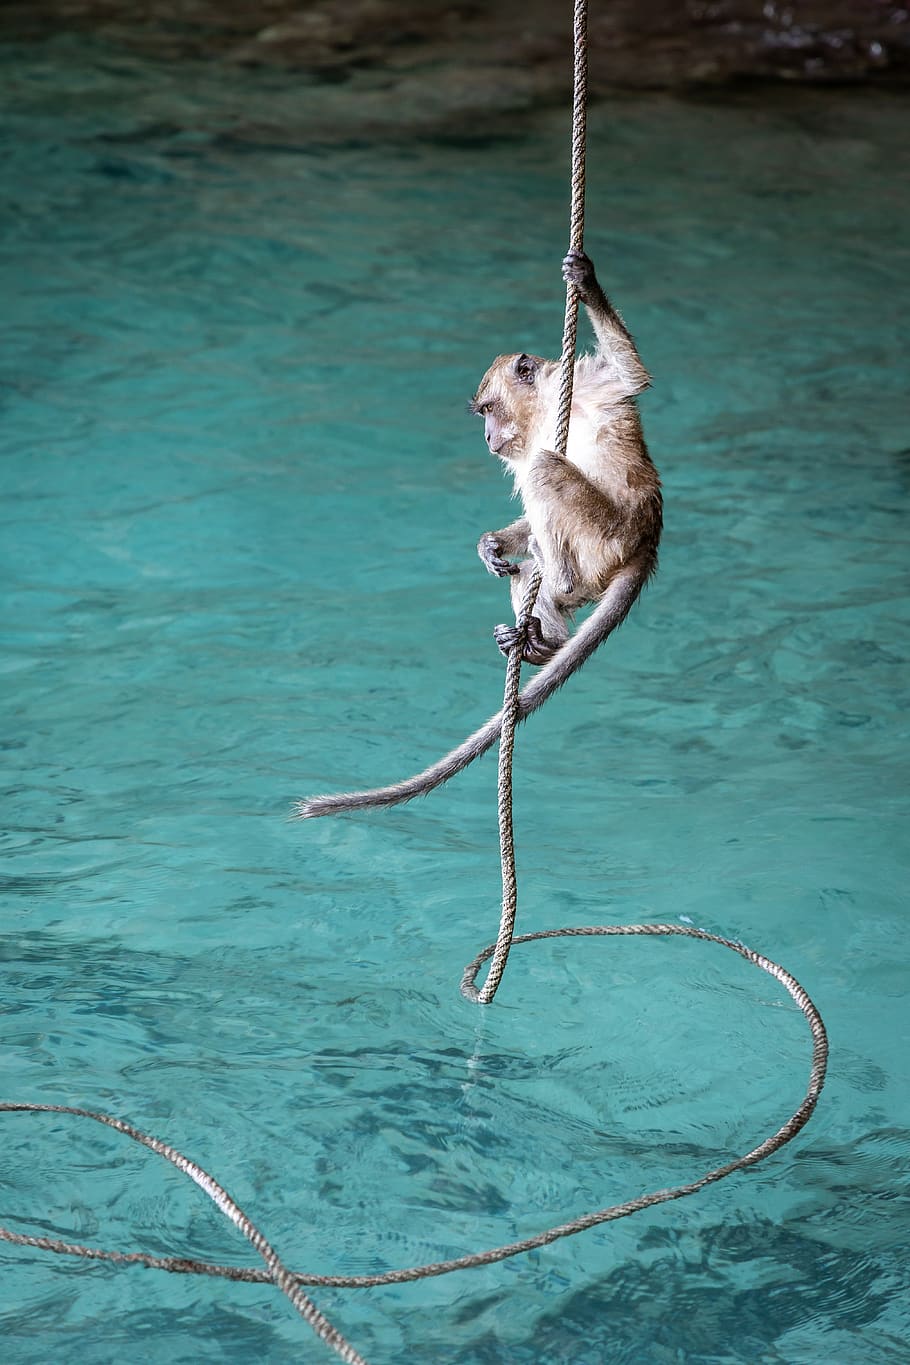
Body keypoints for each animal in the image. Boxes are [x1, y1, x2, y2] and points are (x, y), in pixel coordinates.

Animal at [298, 250, 661, 819]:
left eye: (489, 411)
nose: (488, 437)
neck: (552, 406)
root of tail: (647, 536)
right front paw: (490, 546)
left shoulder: (590, 383)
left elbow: (631, 374)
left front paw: (585, 278)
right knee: (528, 561)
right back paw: (541, 640)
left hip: (606, 536)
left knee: (544, 471)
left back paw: (559, 584)